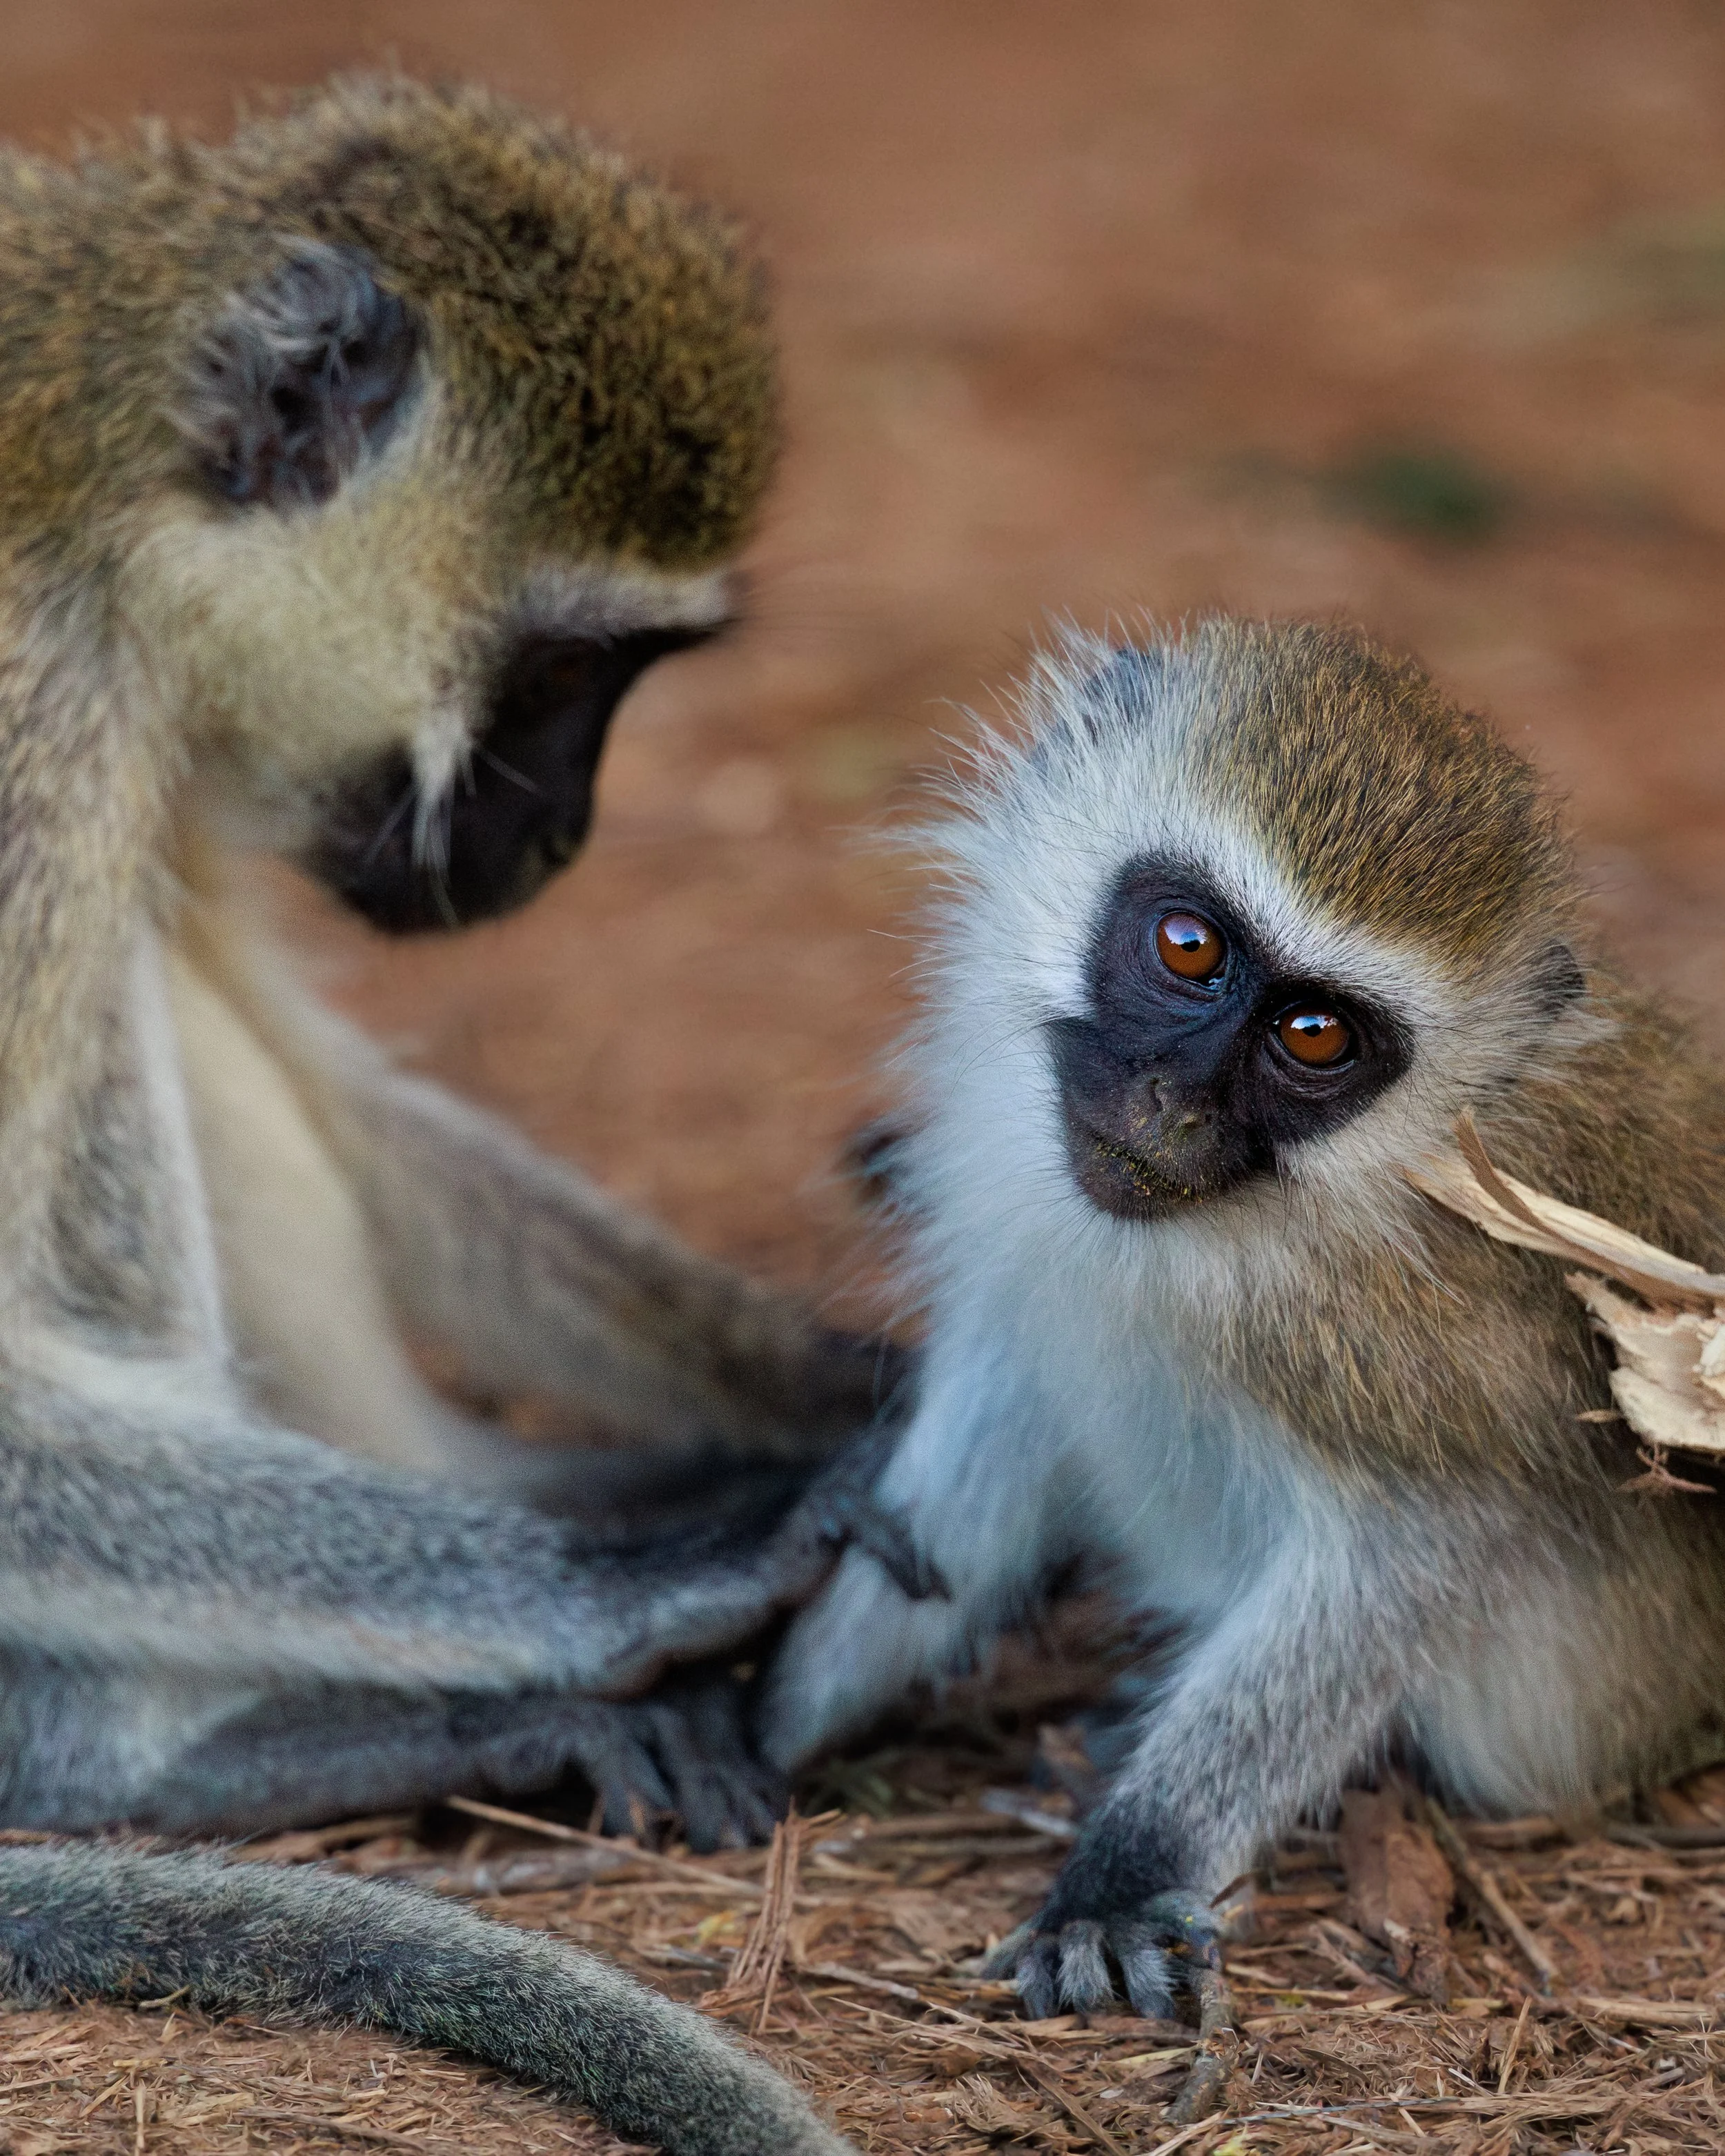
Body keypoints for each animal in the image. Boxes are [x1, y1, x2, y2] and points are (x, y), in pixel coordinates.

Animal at [0, 74, 915, 2151]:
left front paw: (843, 1389)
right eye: (564, 669)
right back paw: (171, 1756)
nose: (560, 831)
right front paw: (648, 1576)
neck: (94, 480)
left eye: (625, 678)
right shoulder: (35, 712)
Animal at [762, 615, 1725, 2024]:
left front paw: (1124, 1870)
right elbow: (983, 1448)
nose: (1170, 1109)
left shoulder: (1398, 1339)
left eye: (1315, 1036)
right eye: (1186, 947)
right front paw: (759, 1710)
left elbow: (1420, 1551)